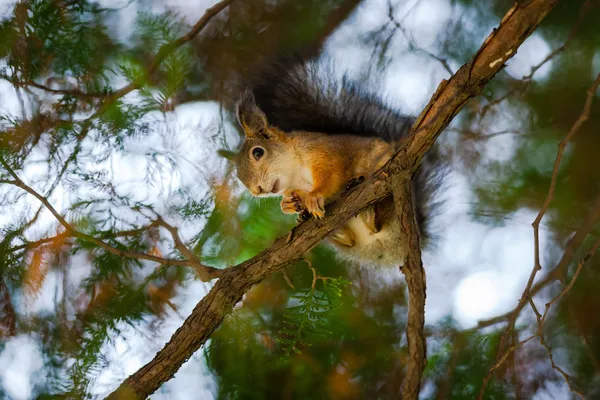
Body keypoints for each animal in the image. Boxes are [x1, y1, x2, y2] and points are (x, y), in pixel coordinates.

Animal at [220, 54, 446, 268]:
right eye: (238, 175)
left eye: (258, 153)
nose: (256, 190)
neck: (294, 173)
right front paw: (289, 204)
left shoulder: (323, 152)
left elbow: (331, 173)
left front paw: (314, 196)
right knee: (350, 240)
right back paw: (331, 229)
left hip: (389, 189)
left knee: (379, 214)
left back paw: (366, 209)